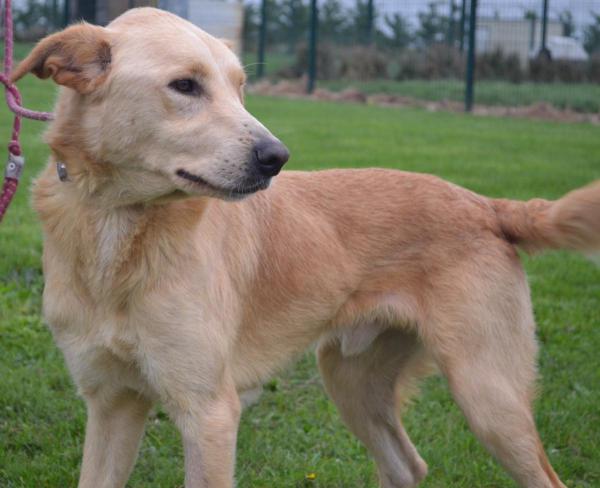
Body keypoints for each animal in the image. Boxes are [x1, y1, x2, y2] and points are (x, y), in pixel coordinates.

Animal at [11, 7, 596, 488]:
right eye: (185, 85)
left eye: (240, 88)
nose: (277, 157)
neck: (116, 227)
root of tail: (486, 204)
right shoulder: (112, 403)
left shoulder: (209, 413)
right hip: (352, 380)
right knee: (407, 465)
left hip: (488, 397)